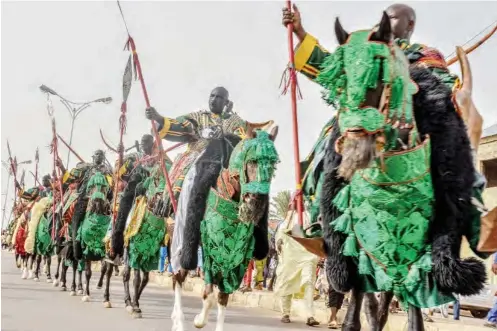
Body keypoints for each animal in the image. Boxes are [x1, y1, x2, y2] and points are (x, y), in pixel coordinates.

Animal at [314, 12, 484, 331]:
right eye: (338, 76)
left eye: (378, 68)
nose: (350, 146)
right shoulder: (360, 249)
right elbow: (355, 315)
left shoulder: (418, 255)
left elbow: (414, 318)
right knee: (372, 304)